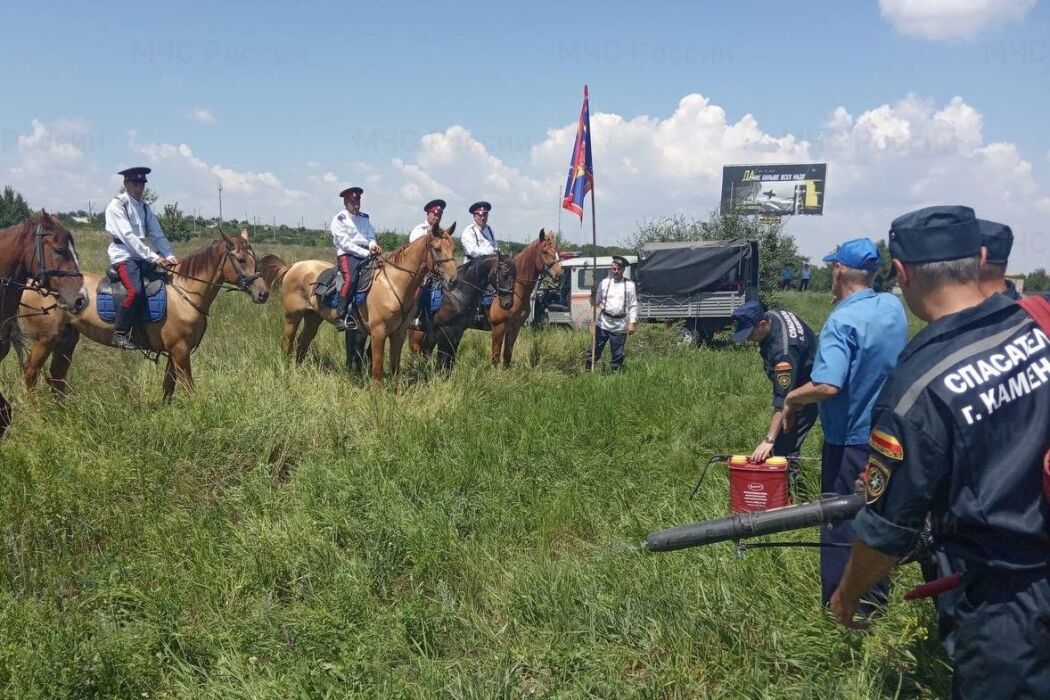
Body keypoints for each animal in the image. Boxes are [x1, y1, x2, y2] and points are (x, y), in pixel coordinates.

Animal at [18, 230, 268, 398]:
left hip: (66, 340)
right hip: (45, 340)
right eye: (241, 260)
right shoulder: (180, 351)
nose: (263, 293)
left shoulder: (175, 352)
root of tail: (33, 283)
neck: (184, 293)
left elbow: (168, 388)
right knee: (31, 372)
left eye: (255, 258)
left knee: (57, 376)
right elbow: (188, 388)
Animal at [266, 221, 455, 379]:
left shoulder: (399, 333)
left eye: (453, 248)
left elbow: (395, 367)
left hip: (313, 317)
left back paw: (298, 370)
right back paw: (285, 369)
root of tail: (292, 266)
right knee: (287, 342)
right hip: (293, 317)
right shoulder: (379, 333)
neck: (394, 284)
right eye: (437, 248)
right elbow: (377, 368)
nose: (453, 280)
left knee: (302, 342)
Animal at [485, 230, 562, 371]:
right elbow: (495, 357)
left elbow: (507, 355)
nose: (559, 274)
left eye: (557, 249)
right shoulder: (498, 328)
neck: (516, 290)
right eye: (544, 251)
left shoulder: (515, 327)